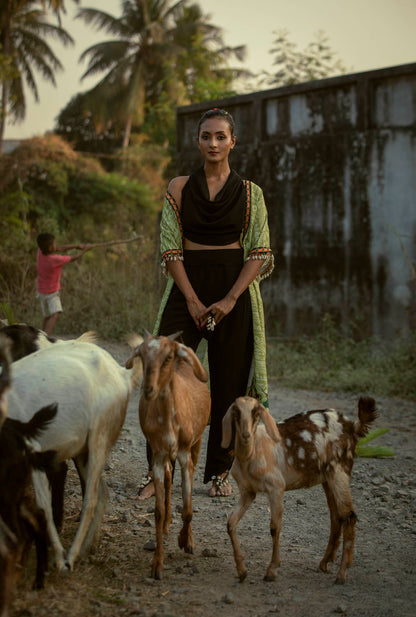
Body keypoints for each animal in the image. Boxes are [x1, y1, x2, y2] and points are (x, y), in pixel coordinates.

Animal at [223, 394, 378, 584]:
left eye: (256, 412)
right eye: (236, 412)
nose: (245, 435)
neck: (252, 452)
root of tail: (352, 425)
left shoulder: (276, 487)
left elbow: (274, 527)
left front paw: (271, 570)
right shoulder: (248, 492)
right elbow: (231, 523)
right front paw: (242, 570)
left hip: (339, 471)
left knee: (349, 516)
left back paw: (341, 574)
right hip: (327, 478)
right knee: (336, 516)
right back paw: (327, 562)